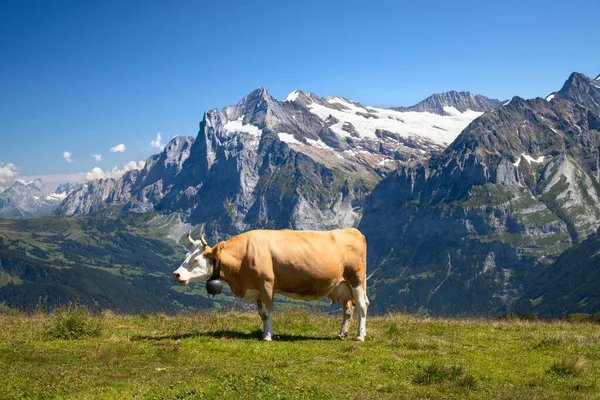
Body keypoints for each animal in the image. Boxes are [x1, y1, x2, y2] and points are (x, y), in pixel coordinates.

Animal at [172, 228, 370, 340]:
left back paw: (360, 336)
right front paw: (265, 333)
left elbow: (268, 313)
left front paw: (267, 336)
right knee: (348, 308)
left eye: (196, 260)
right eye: (186, 256)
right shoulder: (256, 288)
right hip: (343, 285)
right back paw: (342, 334)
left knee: (362, 305)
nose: (176, 274)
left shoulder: (266, 284)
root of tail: (352, 230)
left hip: (356, 280)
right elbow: (261, 314)